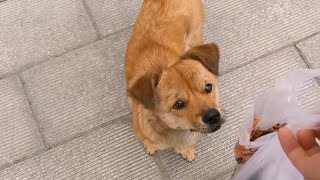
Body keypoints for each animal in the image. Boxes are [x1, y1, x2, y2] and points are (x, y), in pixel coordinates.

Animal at [124, 0, 224, 161]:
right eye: (178, 104)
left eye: (208, 87)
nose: (213, 115)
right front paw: (150, 146)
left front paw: (186, 150)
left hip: (195, 33)